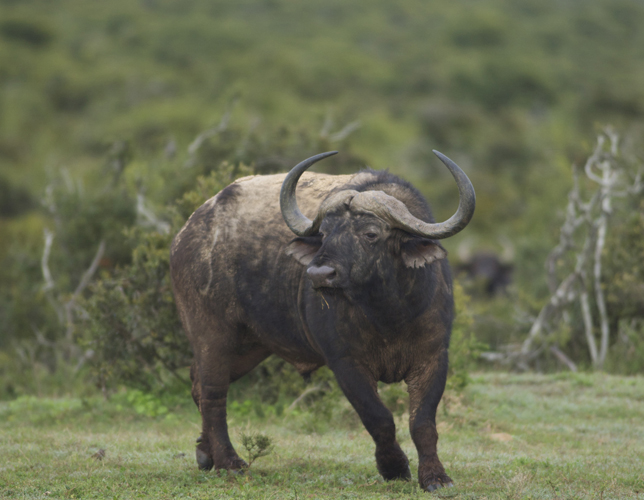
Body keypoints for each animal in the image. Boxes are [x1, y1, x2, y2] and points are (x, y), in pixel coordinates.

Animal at [169, 149, 476, 492]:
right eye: (326, 234)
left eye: (371, 234)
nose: (319, 273)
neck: (389, 314)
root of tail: (187, 235)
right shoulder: (345, 362)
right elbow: (379, 418)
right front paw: (394, 467)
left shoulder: (433, 357)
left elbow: (422, 422)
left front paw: (435, 476)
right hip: (212, 336)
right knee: (213, 394)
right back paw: (229, 462)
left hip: (250, 347)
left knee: (197, 384)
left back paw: (205, 454)